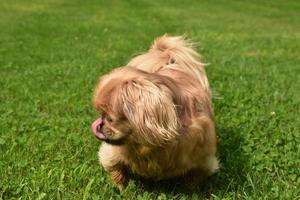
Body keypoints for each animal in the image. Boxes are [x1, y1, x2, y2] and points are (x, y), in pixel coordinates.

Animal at [91, 35, 218, 190]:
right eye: (101, 114)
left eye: (110, 119)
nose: (99, 124)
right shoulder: (111, 154)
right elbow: (117, 172)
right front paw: (123, 190)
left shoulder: (204, 163)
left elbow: (192, 182)